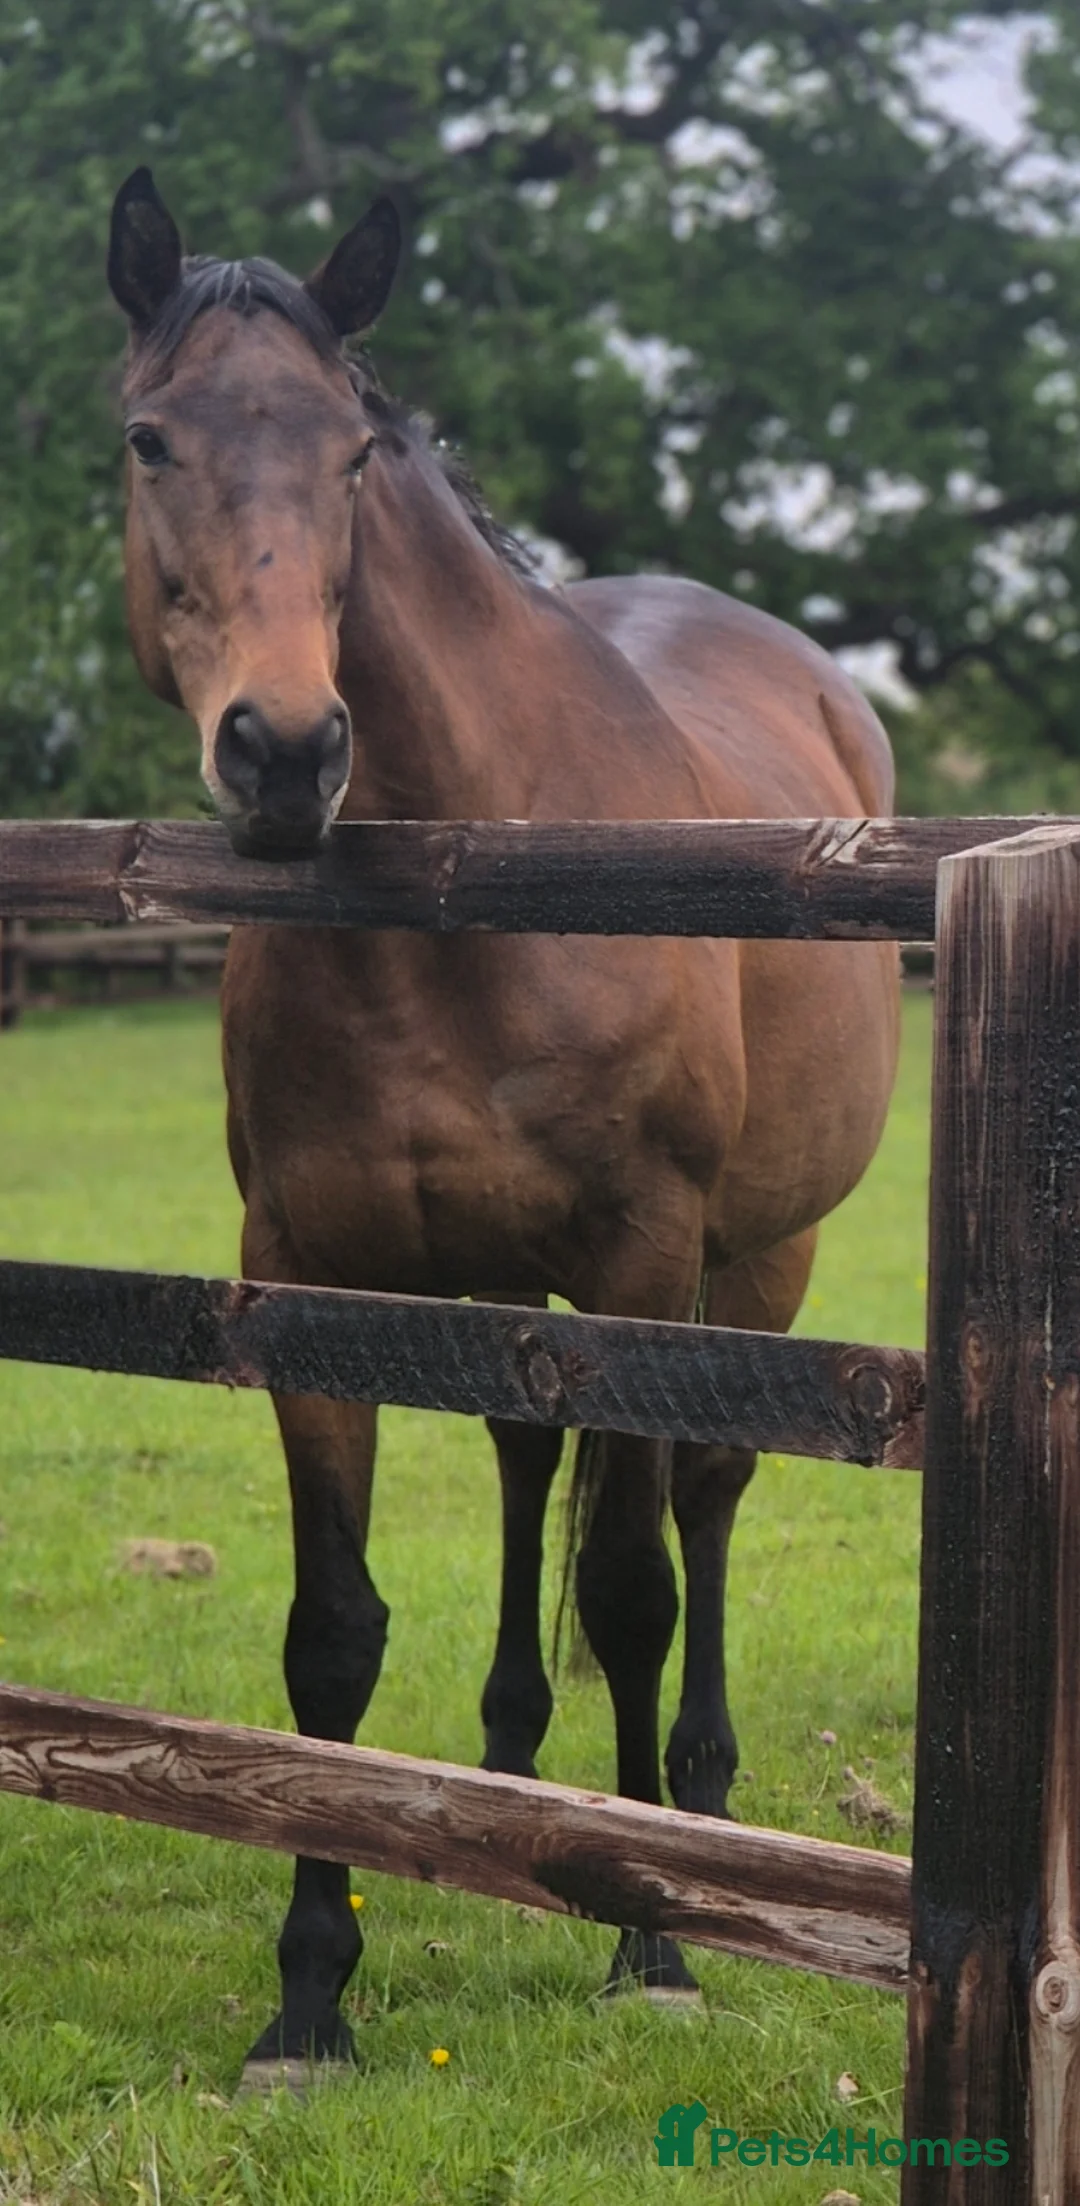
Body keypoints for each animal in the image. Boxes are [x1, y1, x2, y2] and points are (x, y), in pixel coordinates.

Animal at [107, 166, 900, 2090]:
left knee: (702, 1497)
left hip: (759, 1256)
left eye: (353, 453)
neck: (469, 882)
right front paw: (311, 1990)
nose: (285, 749)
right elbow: (330, 1635)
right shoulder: (305, 1274)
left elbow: (629, 1584)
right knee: (529, 1454)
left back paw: (690, 1812)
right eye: (153, 438)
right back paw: (503, 1773)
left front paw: (649, 1937)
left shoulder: (639, 1254)